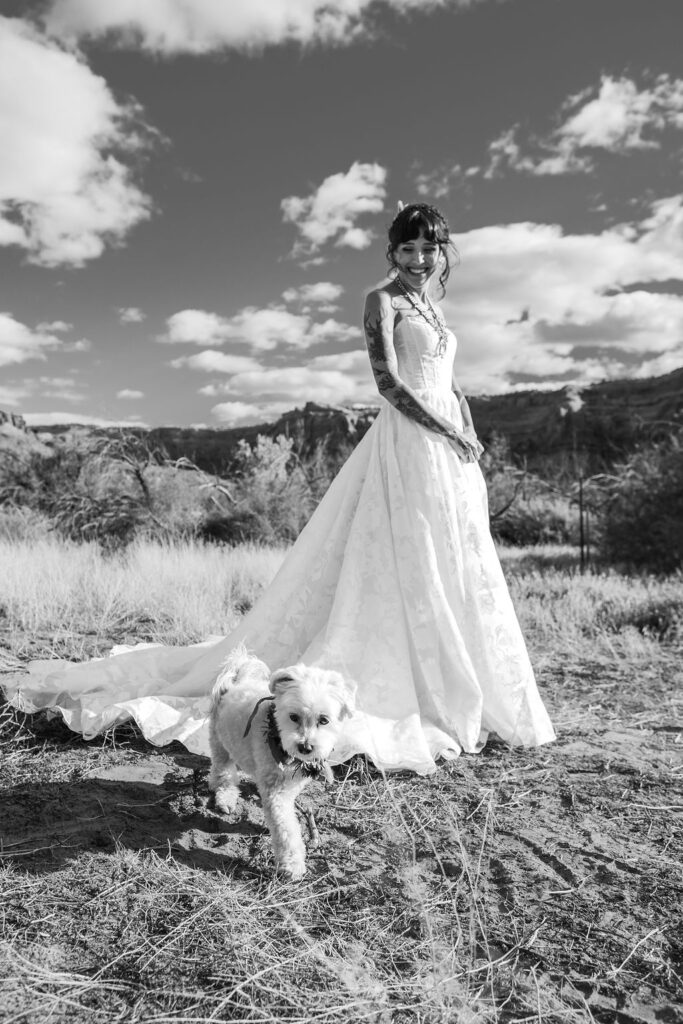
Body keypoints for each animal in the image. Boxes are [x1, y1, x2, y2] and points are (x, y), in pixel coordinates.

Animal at [208, 647, 356, 880]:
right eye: (293, 716)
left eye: (324, 720)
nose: (305, 747)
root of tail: (234, 679)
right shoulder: (276, 794)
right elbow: (285, 829)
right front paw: (291, 863)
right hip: (221, 743)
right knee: (222, 771)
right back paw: (225, 796)